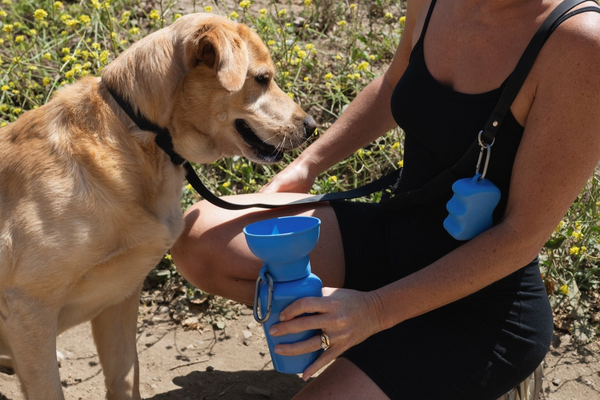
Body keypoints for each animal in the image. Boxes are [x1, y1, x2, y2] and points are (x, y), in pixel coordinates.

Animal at [0, 13, 316, 400]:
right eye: (262, 78)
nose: (312, 125)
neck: (137, 137)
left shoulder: (119, 298)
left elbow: (124, 378)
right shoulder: (27, 305)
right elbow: (49, 387)